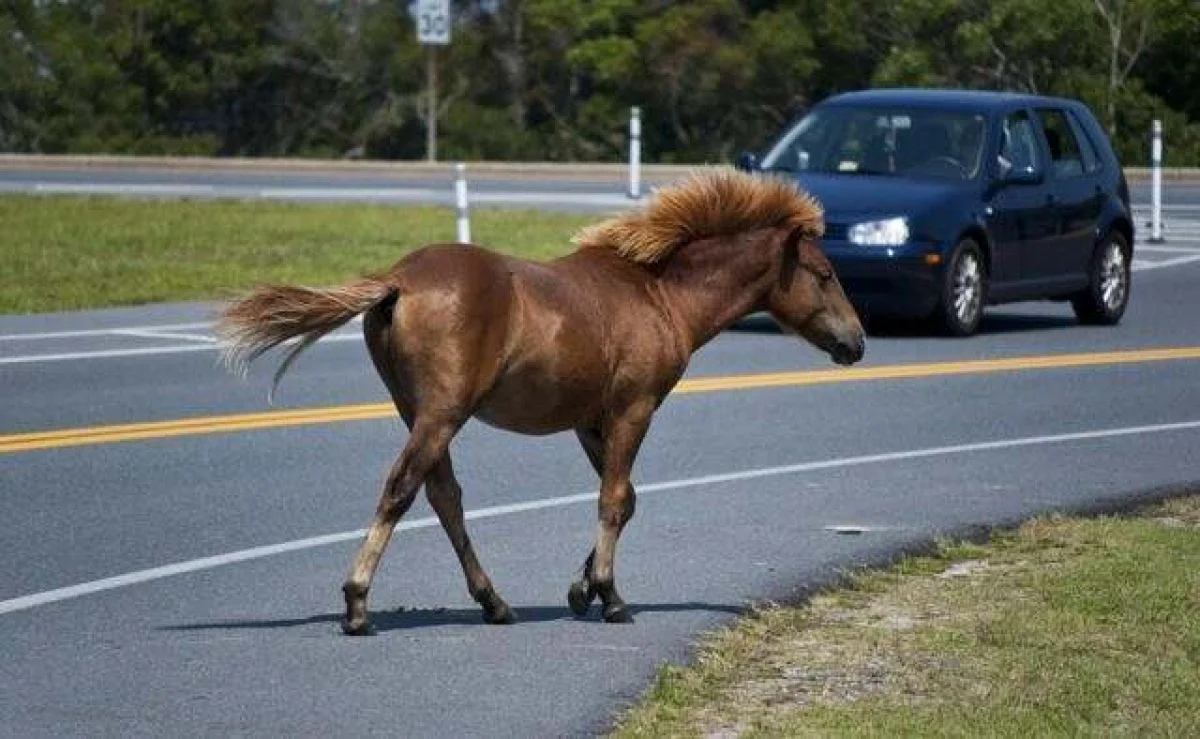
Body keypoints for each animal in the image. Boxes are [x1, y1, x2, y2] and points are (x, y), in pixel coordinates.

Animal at [218, 167, 864, 633]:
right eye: (825, 274)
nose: (856, 343)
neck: (658, 294)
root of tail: (398, 280)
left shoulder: (591, 421)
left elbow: (626, 499)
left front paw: (583, 589)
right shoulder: (634, 409)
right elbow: (614, 501)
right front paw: (610, 598)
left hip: (418, 412)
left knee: (444, 497)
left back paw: (494, 603)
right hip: (442, 414)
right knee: (402, 491)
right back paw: (357, 605)